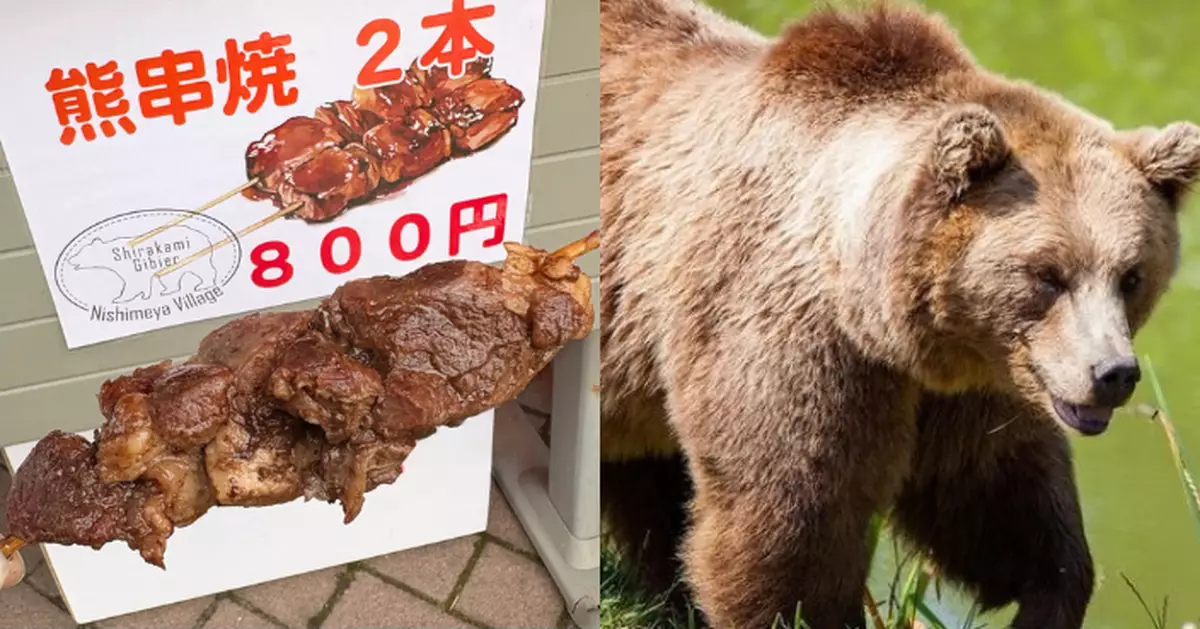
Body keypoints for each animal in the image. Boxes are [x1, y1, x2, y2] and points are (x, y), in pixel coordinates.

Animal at [598, 1, 1200, 628]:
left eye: (1131, 275)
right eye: (1047, 274)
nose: (1113, 373)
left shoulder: (974, 381)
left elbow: (993, 492)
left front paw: (1051, 593)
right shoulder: (790, 334)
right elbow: (793, 516)